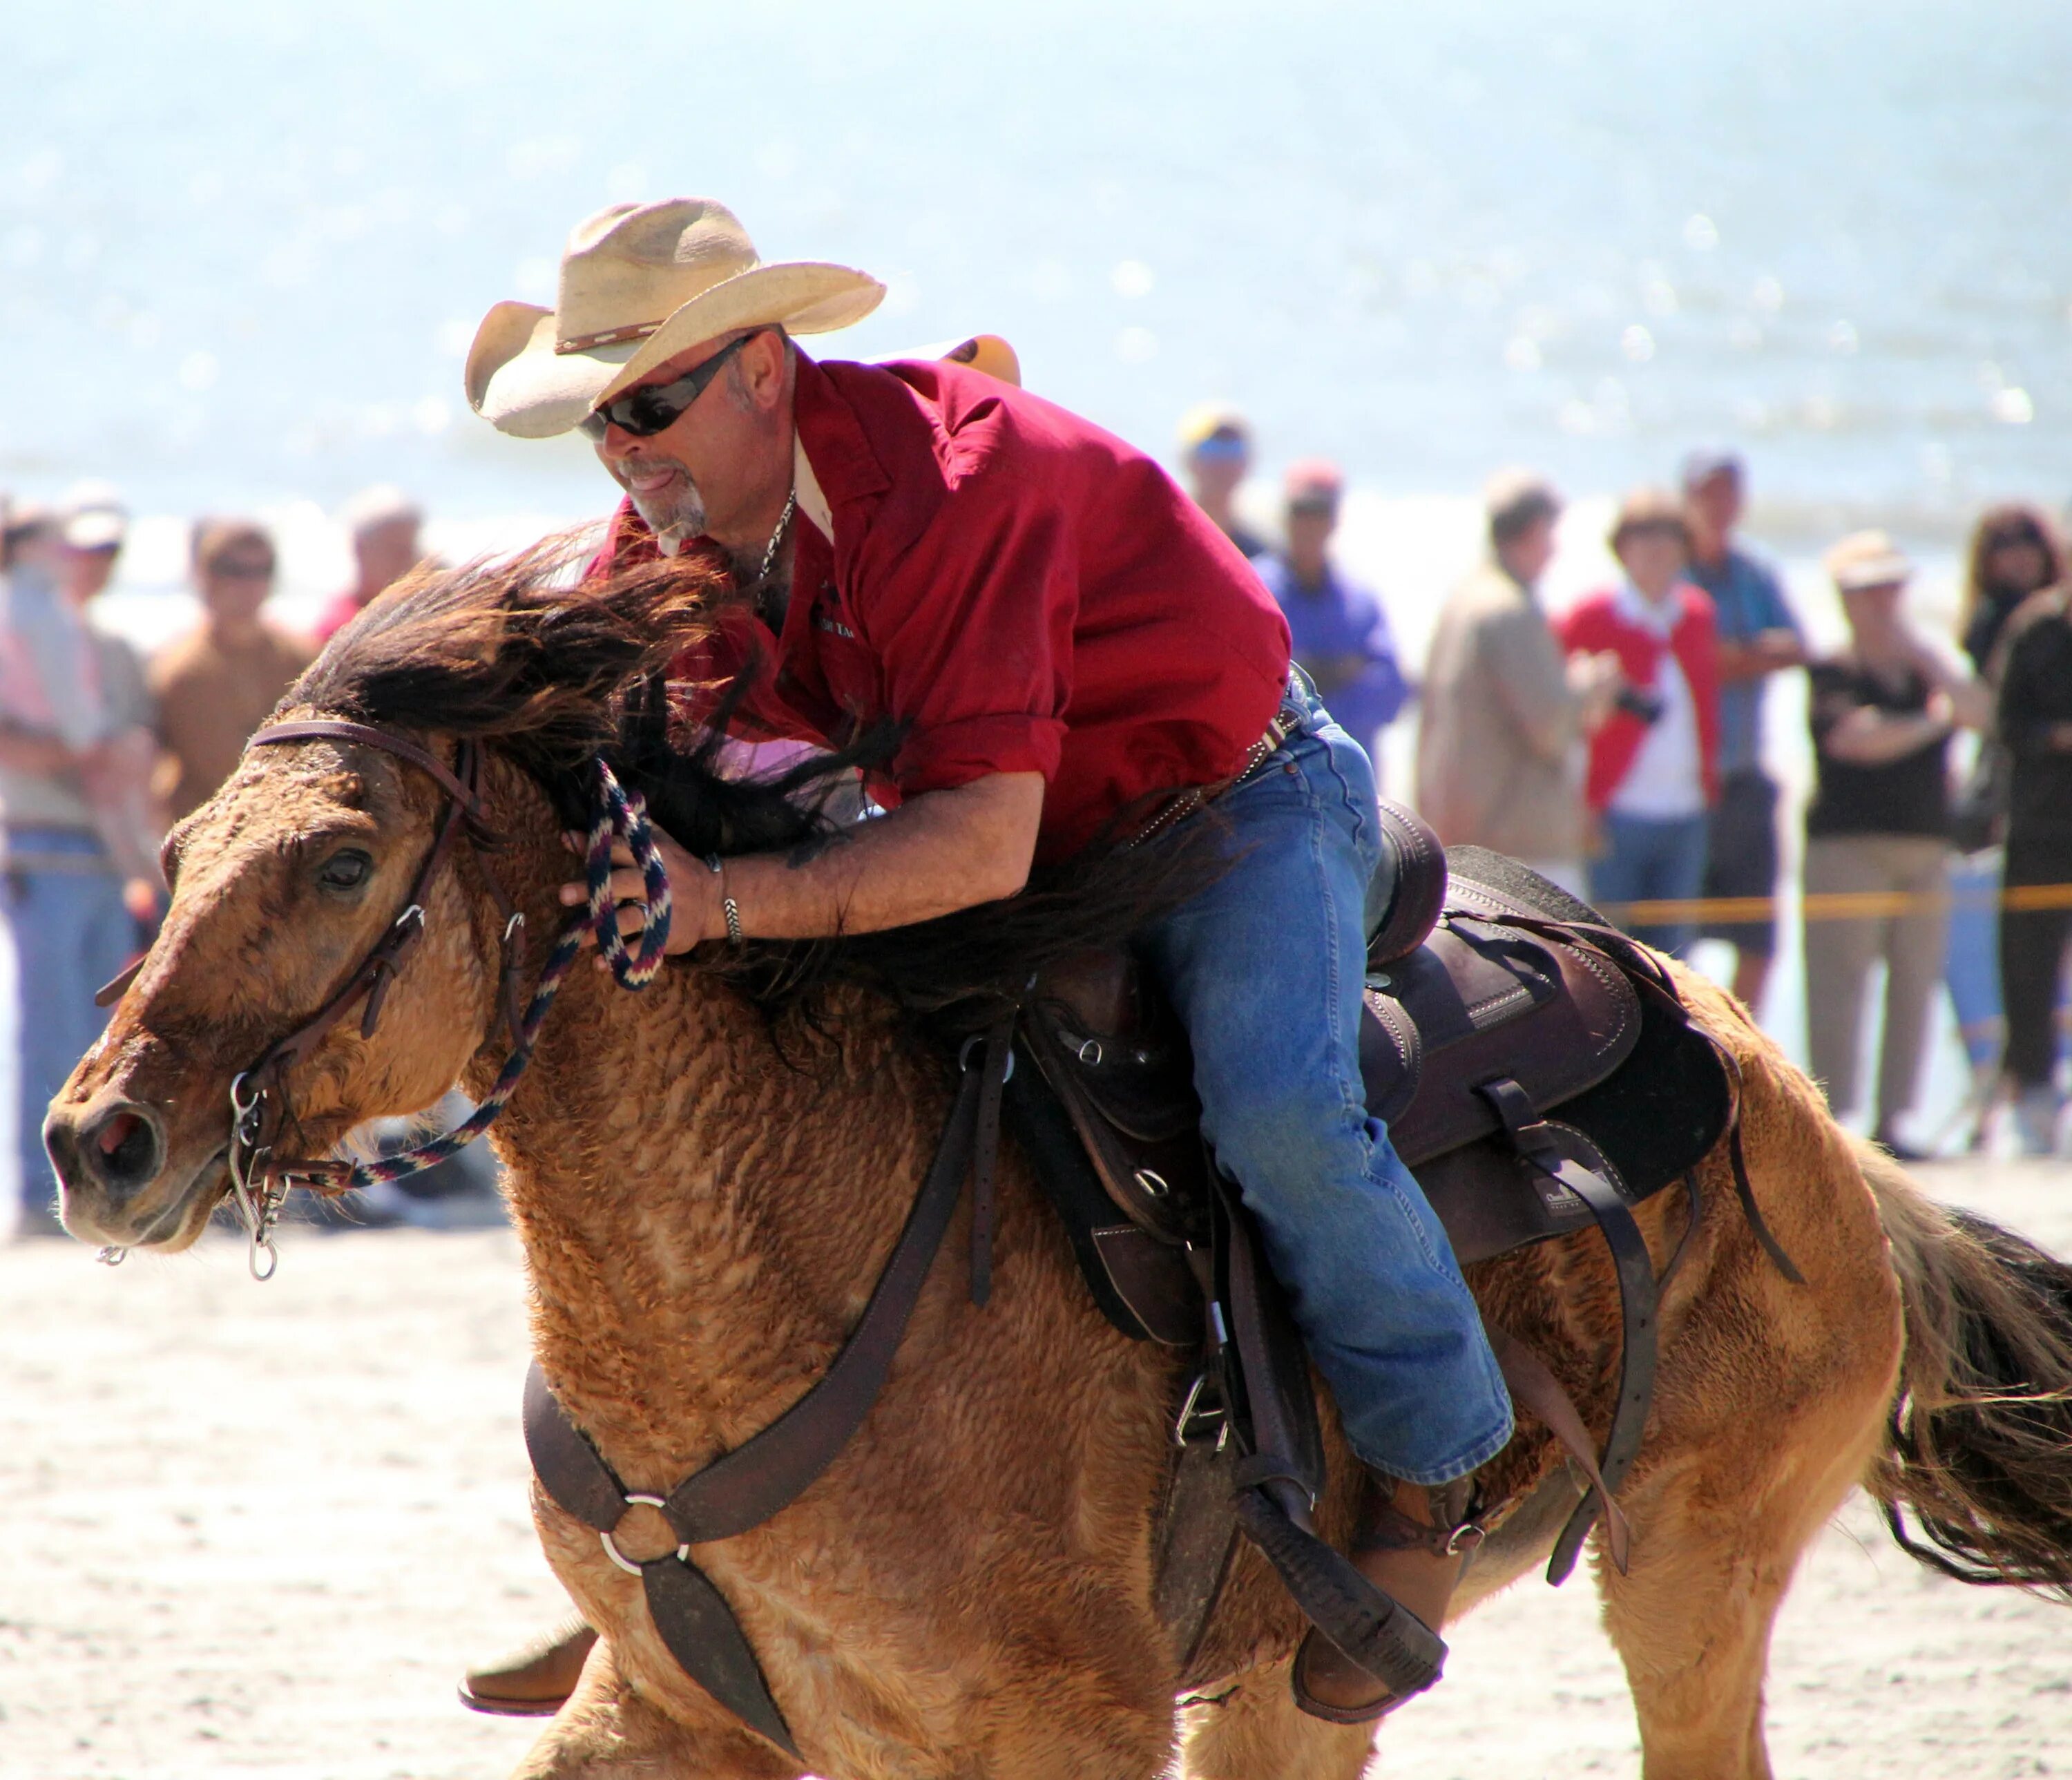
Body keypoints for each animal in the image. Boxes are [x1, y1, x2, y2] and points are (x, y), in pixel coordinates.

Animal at [40, 543, 2072, 1780]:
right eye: (181, 845)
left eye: (334, 863)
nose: (91, 1139)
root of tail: (1814, 1130)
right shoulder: (666, 1702)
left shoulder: (1069, 1721)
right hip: (1302, 1679)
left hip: (1691, 1576)